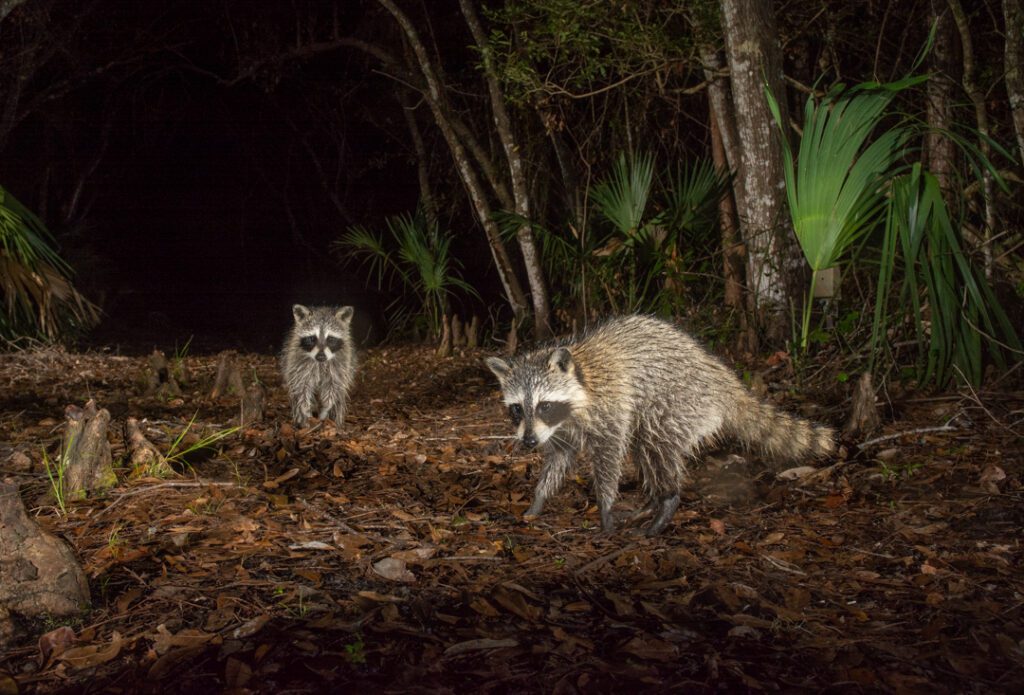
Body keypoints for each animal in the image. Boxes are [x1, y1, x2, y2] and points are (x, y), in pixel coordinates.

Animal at [484, 315, 835, 536]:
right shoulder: (558, 429)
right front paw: (539, 499)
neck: (581, 379)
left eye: (544, 405)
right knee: (646, 446)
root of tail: (725, 382)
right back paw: (651, 503)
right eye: (517, 409)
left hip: (681, 400)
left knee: (655, 442)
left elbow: (609, 455)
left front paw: (605, 506)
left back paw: (666, 503)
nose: (528, 442)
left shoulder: (611, 403)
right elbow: (559, 456)